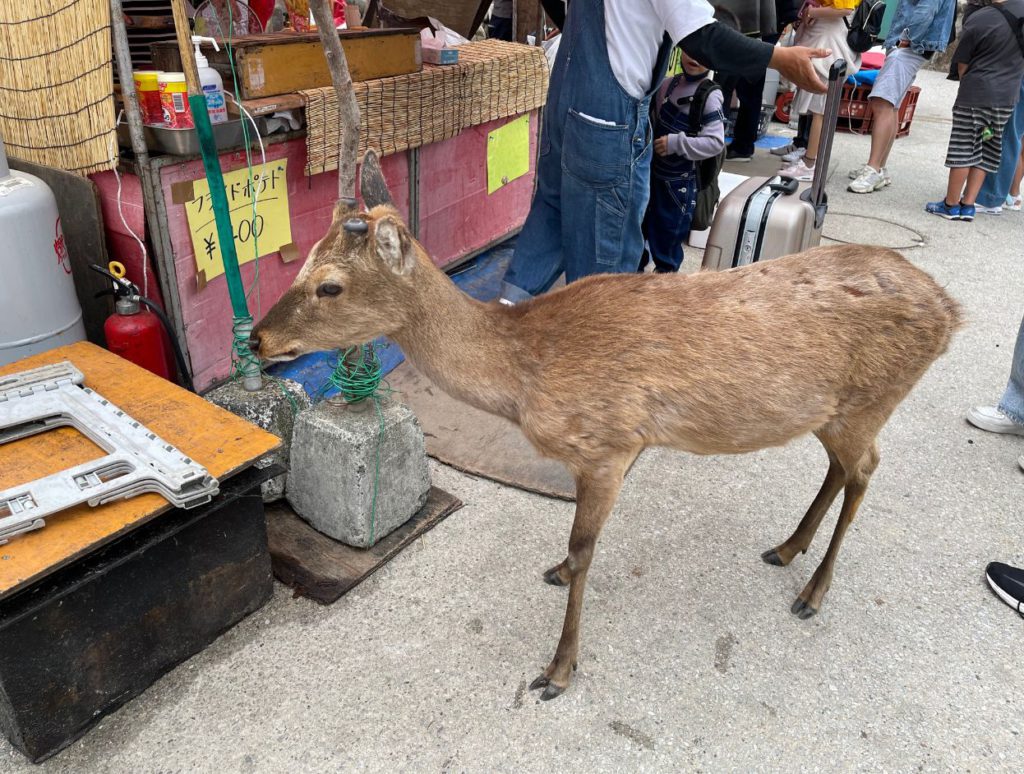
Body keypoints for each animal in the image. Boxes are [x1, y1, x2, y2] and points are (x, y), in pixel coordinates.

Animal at [247, 149, 958, 700]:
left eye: (330, 285)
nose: (256, 338)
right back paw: (786, 548)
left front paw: (558, 669)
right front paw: (555, 576)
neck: (527, 372)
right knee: (842, 467)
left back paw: (812, 591)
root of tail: (953, 312)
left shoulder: (609, 446)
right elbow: (575, 552)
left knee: (866, 469)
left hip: (871, 399)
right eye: (303, 260)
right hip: (832, 411)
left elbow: (586, 549)